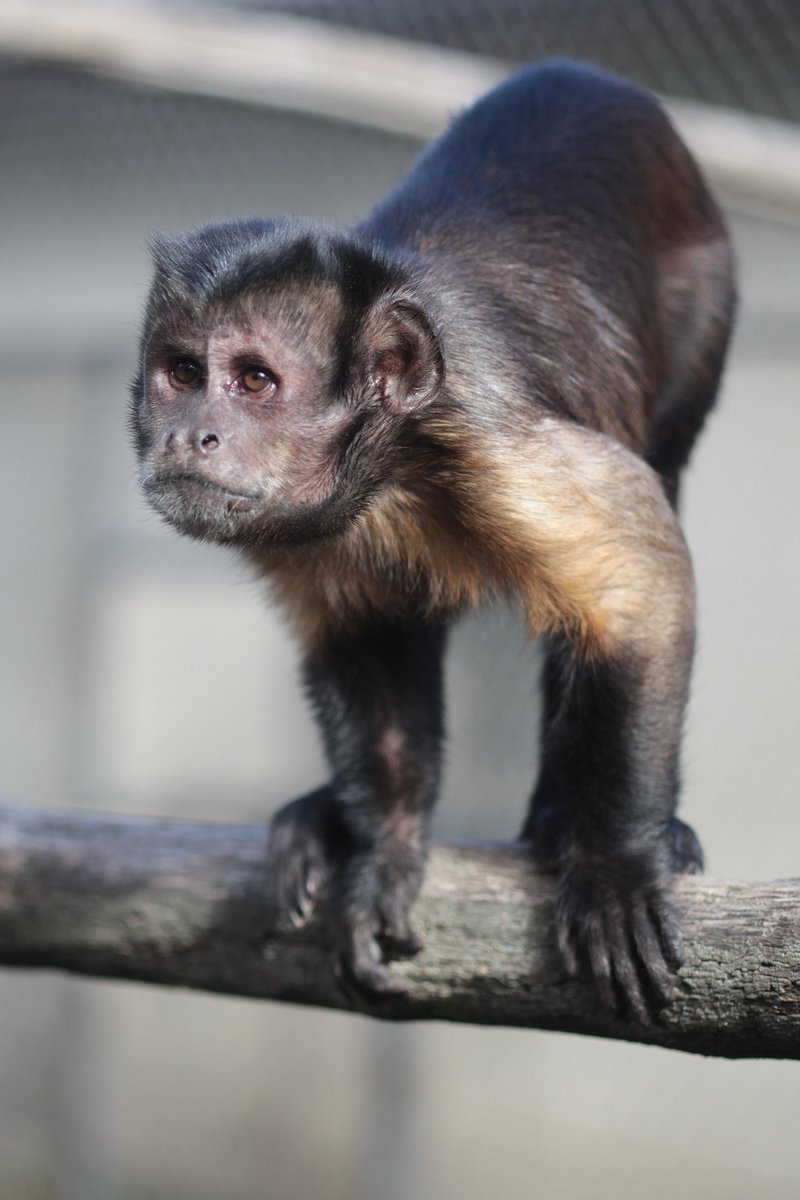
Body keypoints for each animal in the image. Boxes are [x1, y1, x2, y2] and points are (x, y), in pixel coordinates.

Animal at [130, 60, 735, 1022]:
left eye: (255, 381)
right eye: (183, 374)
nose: (192, 434)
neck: (391, 463)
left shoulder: (493, 439)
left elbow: (637, 582)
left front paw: (615, 864)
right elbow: (367, 636)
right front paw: (382, 853)